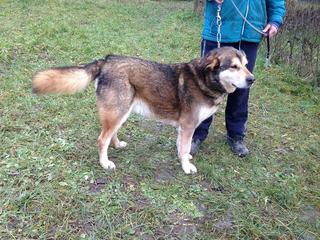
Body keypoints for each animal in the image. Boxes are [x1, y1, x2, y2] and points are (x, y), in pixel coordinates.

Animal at [32, 47, 255, 174]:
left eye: (246, 65)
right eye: (233, 67)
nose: (252, 79)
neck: (205, 79)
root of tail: (106, 60)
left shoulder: (184, 128)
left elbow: (181, 147)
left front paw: (183, 159)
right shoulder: (188, 125)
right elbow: (184, 148)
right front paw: (186, 167)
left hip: (122, 111)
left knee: (111, 134)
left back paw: (117, 145)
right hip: (118, 111)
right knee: (102, 139)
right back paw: (105, 163)